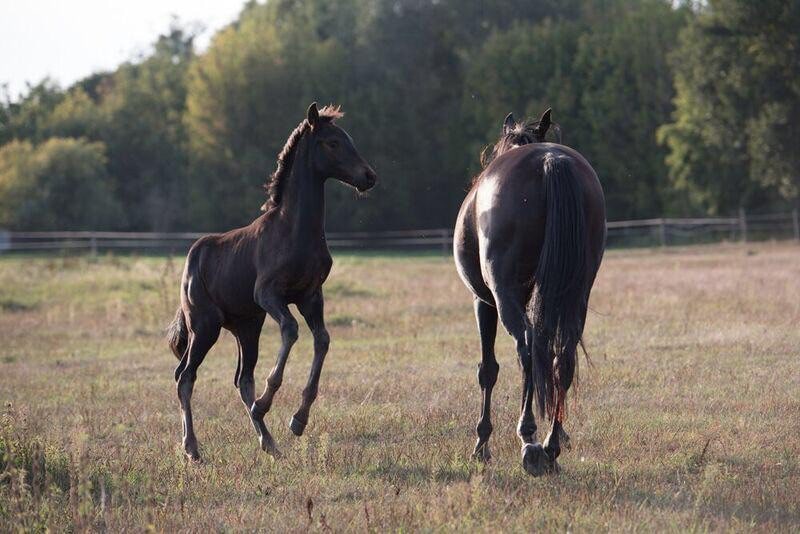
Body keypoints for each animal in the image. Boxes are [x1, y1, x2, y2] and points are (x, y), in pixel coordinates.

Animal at [166, 102, 378, 462]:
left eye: (348, 139)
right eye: (332, 142)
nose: (368, 177)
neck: (295, 230)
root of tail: (192, 259)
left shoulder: (310, 296)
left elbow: (322, 340)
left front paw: (298, 420)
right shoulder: (268, 295)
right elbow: (291, 330)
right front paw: (269, 403)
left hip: (246, 326)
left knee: (242, 379)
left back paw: (269, 443)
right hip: (204, 325)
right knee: (185, 376)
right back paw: (192, 448)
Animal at [454, 110, 604, 478]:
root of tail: (551, 161)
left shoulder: (483, 303)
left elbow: (488, 369)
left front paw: (481, 444)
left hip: (503, 295)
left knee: (526, 348)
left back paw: (529, 438)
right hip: (577, 294)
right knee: (561, 355)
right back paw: (551, 444)